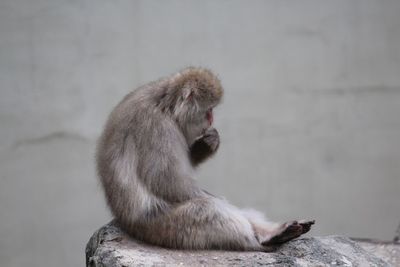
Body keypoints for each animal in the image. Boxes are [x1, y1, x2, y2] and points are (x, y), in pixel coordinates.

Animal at [95, 66, 314, 251]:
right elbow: (168, 182)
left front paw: (207, 144)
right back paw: (263, 239)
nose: (211, 119)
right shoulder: (157, 129)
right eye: (208, 109)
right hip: (165, 228)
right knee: (209, 210)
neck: (165, 105)